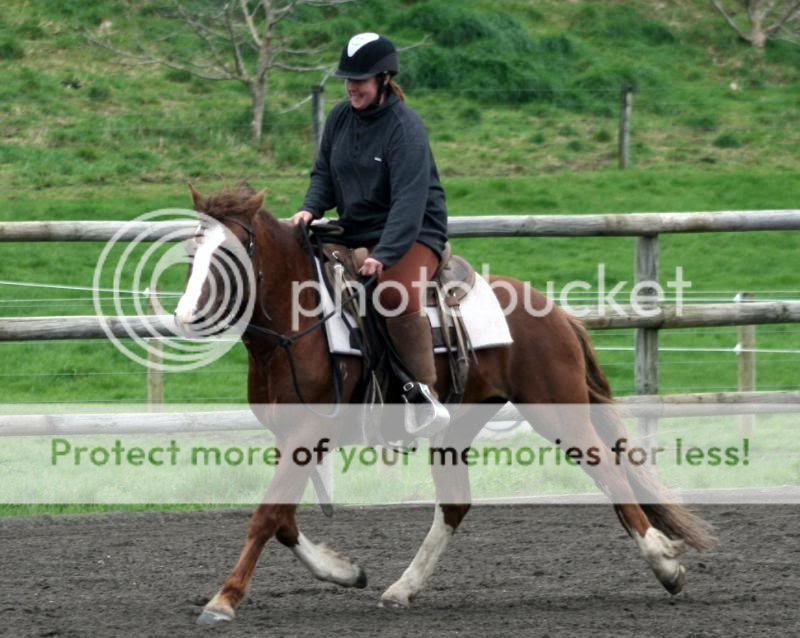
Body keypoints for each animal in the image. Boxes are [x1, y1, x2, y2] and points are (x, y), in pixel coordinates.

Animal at [174, 184, 716, 625]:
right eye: (191, 254)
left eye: (228, 255)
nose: (186, 317)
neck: (300, 323)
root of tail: (558, 314)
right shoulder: (294, 438)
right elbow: (284, 520)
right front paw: (346, 571)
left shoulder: (308, 434)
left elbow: (266, 516)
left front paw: (223, 600)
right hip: (457, 427)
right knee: (455, 504)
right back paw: (401, 589)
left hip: (557, 411)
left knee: (610, 473)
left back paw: (666, 565)